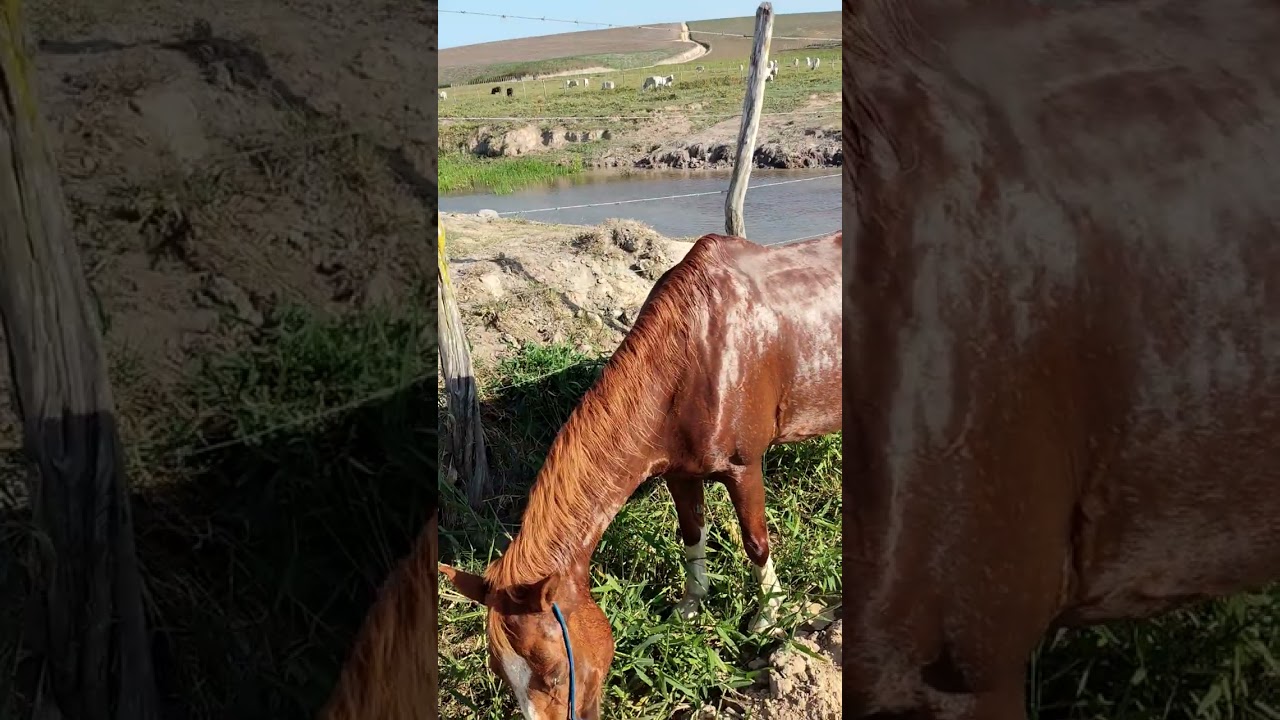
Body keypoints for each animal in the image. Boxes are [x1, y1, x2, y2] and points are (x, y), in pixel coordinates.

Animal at [442, 230, 842, 719]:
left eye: (553, 672)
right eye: (501, 674)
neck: (697, 355)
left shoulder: (743, 468)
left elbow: (755, 543)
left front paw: (768, 618)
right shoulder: (680, 473)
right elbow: (692, 534)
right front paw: (690, 608)